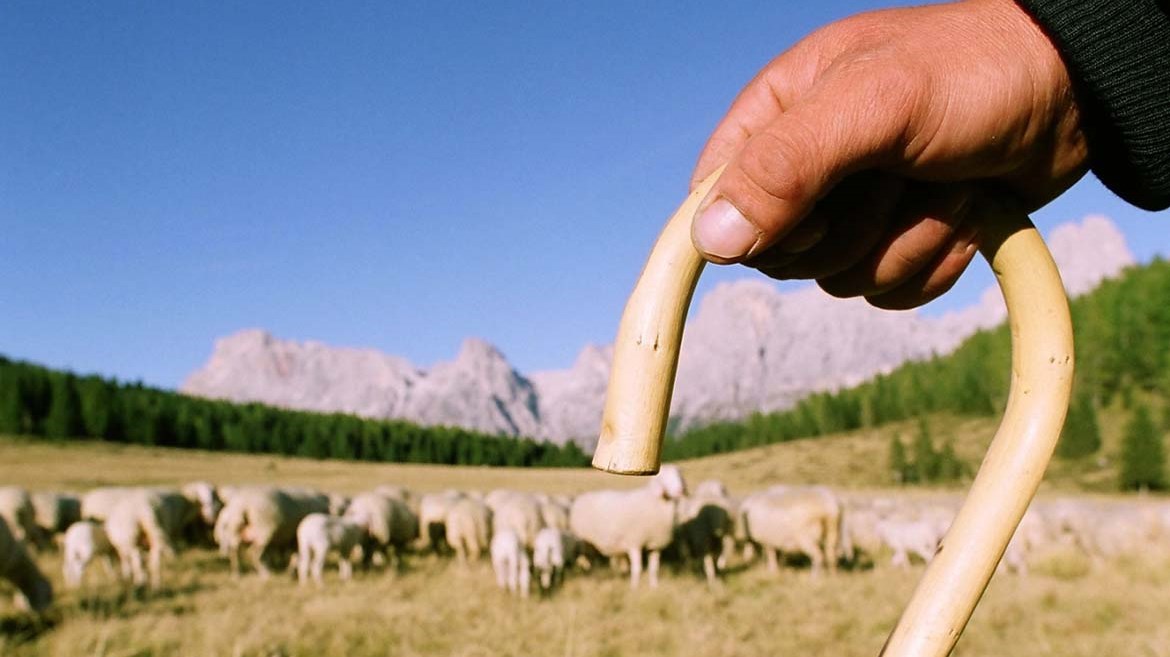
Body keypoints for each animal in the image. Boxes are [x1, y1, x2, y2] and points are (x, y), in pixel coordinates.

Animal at [566, 460, 683, 589]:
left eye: (679, 476)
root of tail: (580, 499)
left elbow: (654, 569)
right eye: (663, 477)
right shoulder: (634, 542)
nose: (680, 490)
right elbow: (637, 568)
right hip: (583, 540)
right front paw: (634, 587)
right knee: (583, 559)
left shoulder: (655, 545)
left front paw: (654, 586)